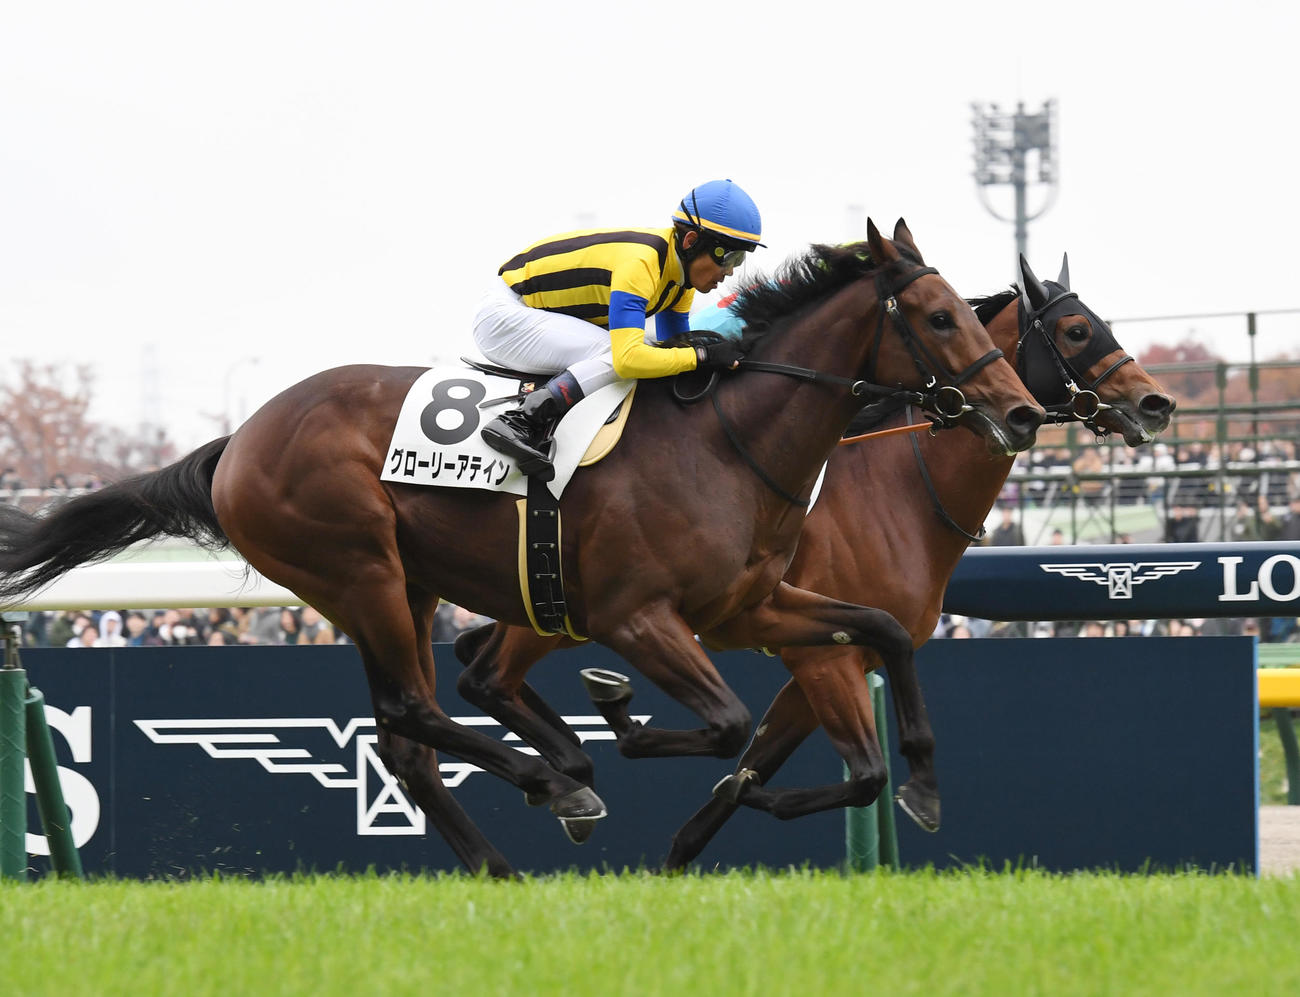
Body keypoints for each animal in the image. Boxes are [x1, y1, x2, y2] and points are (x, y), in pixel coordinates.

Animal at [0, 219, 1045, 878]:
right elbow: (725, 724)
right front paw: (612, 732)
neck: (729, 442)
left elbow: (883, 635)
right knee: (415, 710)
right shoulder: (636, 615)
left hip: (412, 586)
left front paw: (920, 784)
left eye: (972, 310)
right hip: (360, 571)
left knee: (415, 730)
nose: (1026, 413)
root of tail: (239, 440)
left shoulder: (751, 603)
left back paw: (505, 855)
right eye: (942, 316)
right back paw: (553, 783)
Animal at [450, 253, 1175, 869]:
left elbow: (769, 781)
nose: (1157, 402)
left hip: (559, 611)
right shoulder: (822, 659)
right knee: (477, 677)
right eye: (1078, 330)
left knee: (476, 663)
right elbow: (852, 774)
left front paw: (715, 814)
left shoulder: (826, 649)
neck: (899, 487)